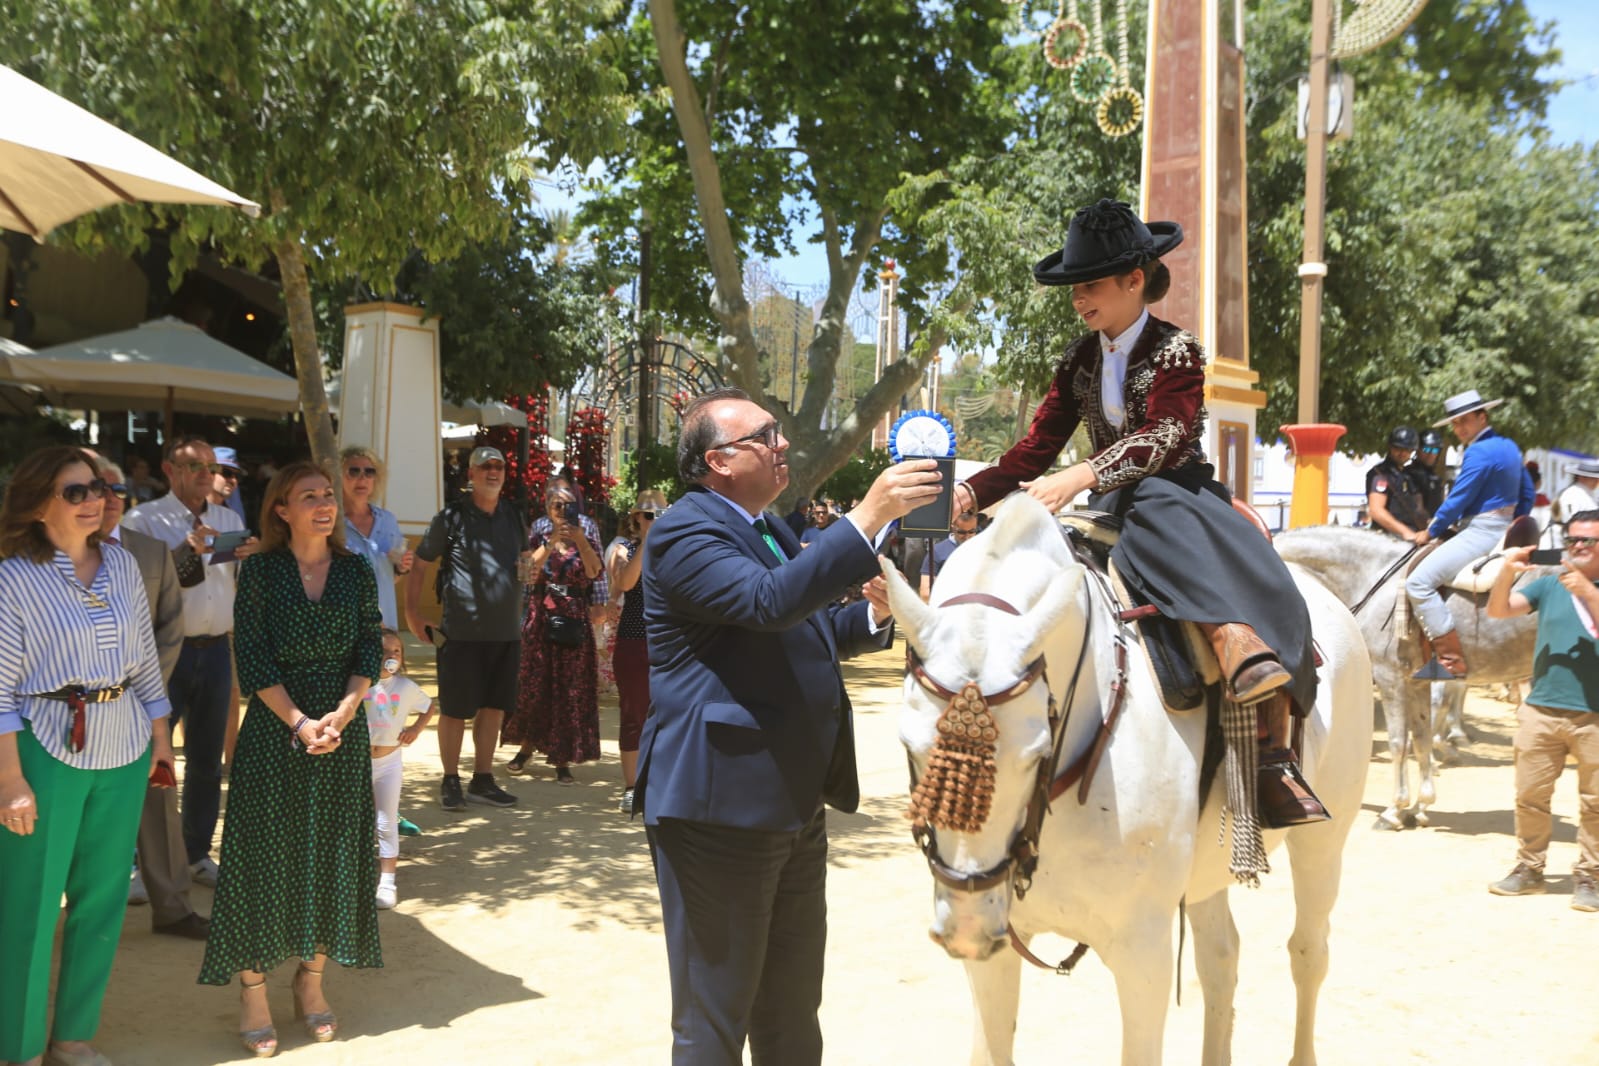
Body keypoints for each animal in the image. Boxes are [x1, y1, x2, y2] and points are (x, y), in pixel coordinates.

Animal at [882, 498, 1368, 1066]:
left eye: (1036, 754)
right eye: (909, 746)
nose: (965, 926)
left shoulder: (1144, 955)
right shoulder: (996, 951)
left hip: (1324, 842)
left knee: (1308, 950)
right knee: (1221, 958)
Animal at [1272, 524, 1535, 831]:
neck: (1373, 575)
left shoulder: (1391, 678)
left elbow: (1399, 743)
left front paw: (1394, 810)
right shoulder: (1417, 682)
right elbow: (1420, 739)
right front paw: (1421, 805)